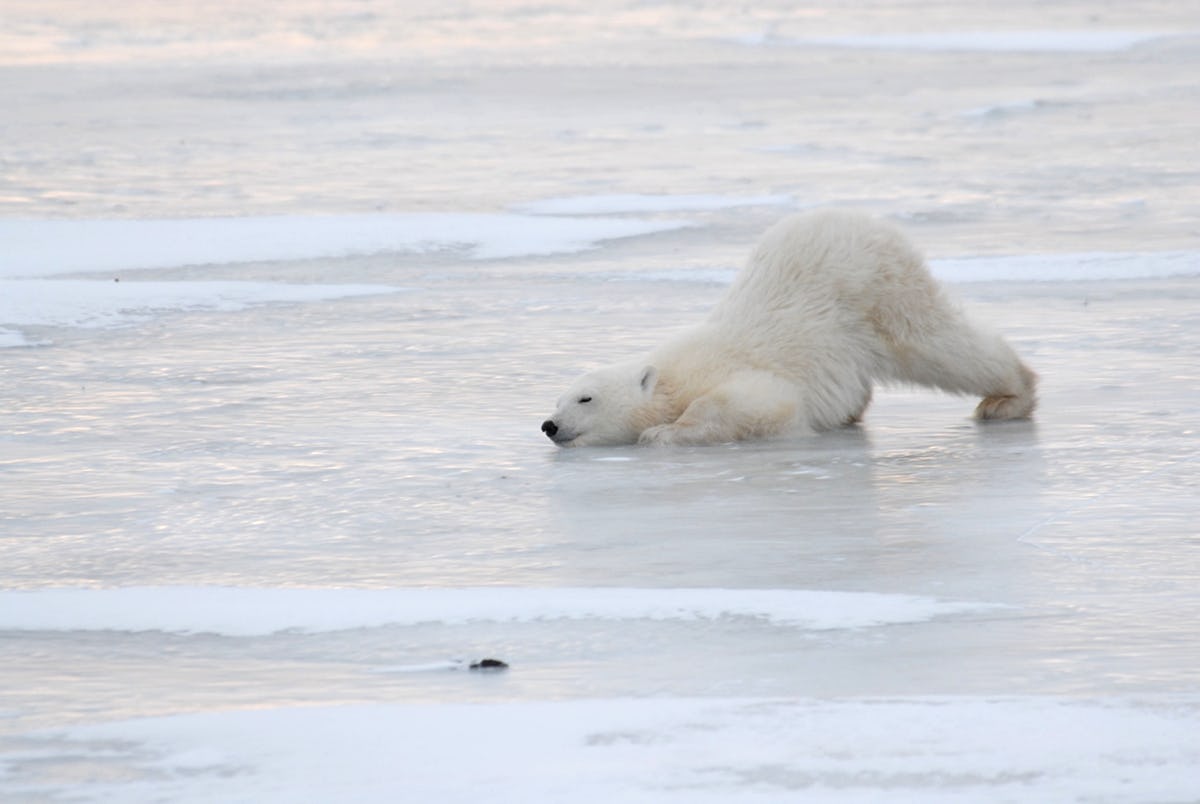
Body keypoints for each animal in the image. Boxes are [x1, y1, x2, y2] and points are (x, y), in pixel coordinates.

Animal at [541, 209, 1037, 447]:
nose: (549, 424)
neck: (673, 377)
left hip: (879, 291)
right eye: (558, 398)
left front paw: (664, 433)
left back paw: (1009, 397)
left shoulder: (732, 375)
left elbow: (758, 403)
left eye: (586, 398)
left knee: (937, 343)